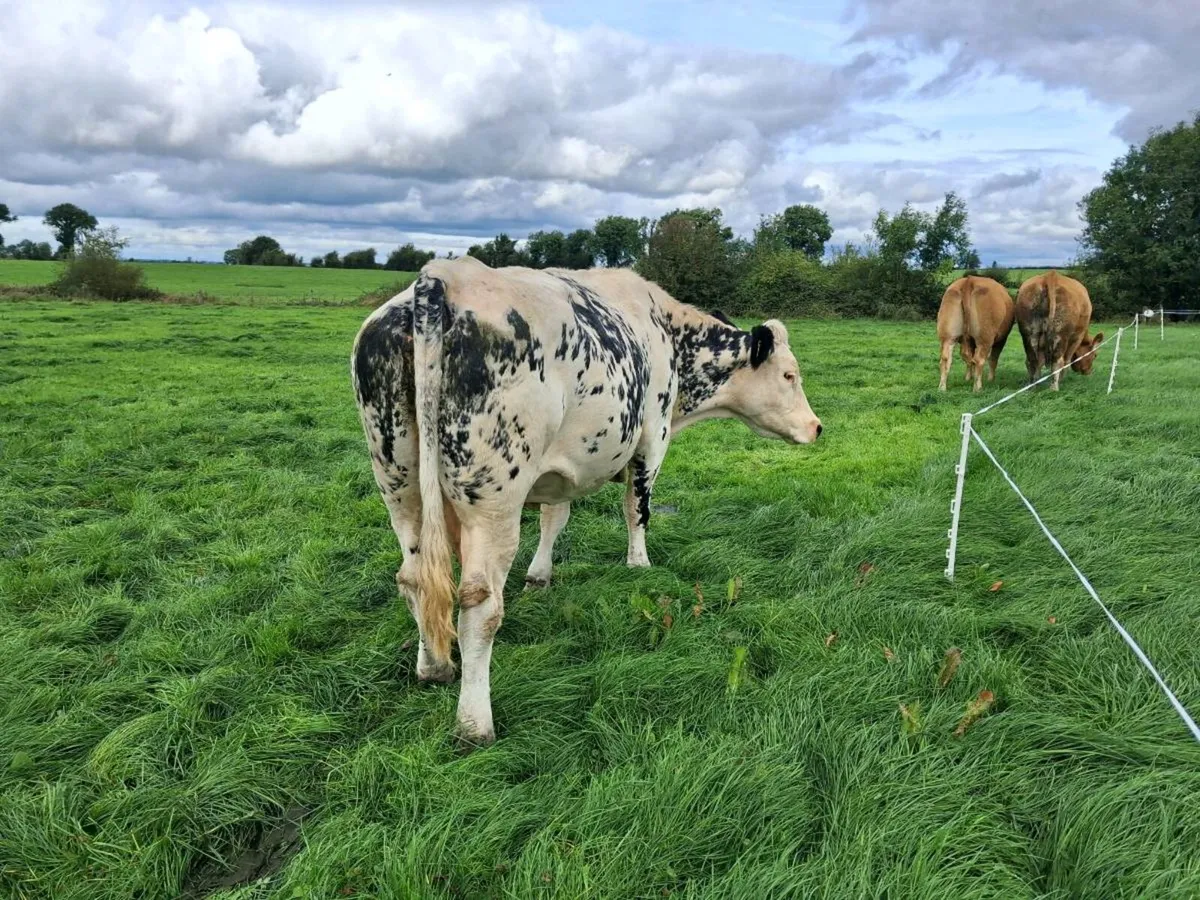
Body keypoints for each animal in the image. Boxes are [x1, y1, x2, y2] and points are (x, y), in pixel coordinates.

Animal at [352, 257, 822, 746]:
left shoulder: (559, 467)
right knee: (480, 605)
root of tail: (445, 275)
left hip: (398, 479)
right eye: (790, 375)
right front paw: (639, 565)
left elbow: (554, 519)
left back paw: (434, 667)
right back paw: (474, 723)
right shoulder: (652, 439)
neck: (668, 333)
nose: (817, 427)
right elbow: (637, 509)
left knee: (415, 578)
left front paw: (539, 577)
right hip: (495, 497)